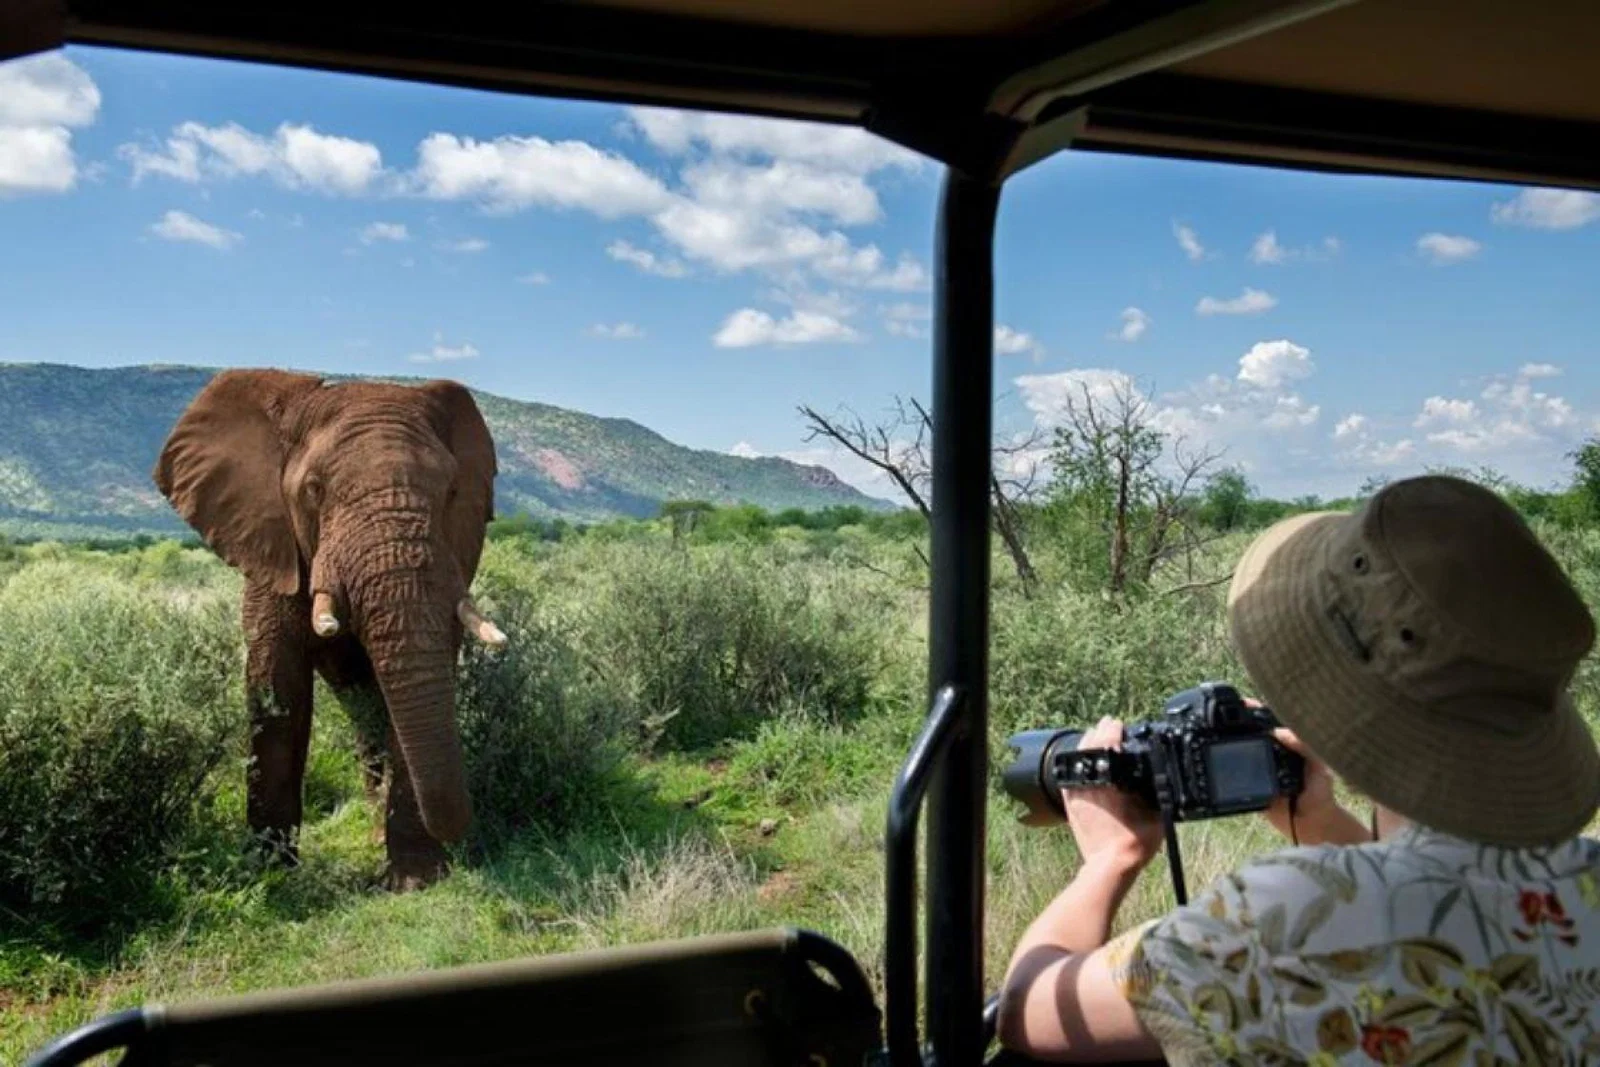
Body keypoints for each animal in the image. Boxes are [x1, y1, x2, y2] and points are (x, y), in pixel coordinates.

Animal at [153, 368, 505, 888]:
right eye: (313, 490)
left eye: (452, 493)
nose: (464, 830)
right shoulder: (272, 548)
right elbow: (278, 693)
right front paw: (271, 873)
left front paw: (415, 881)